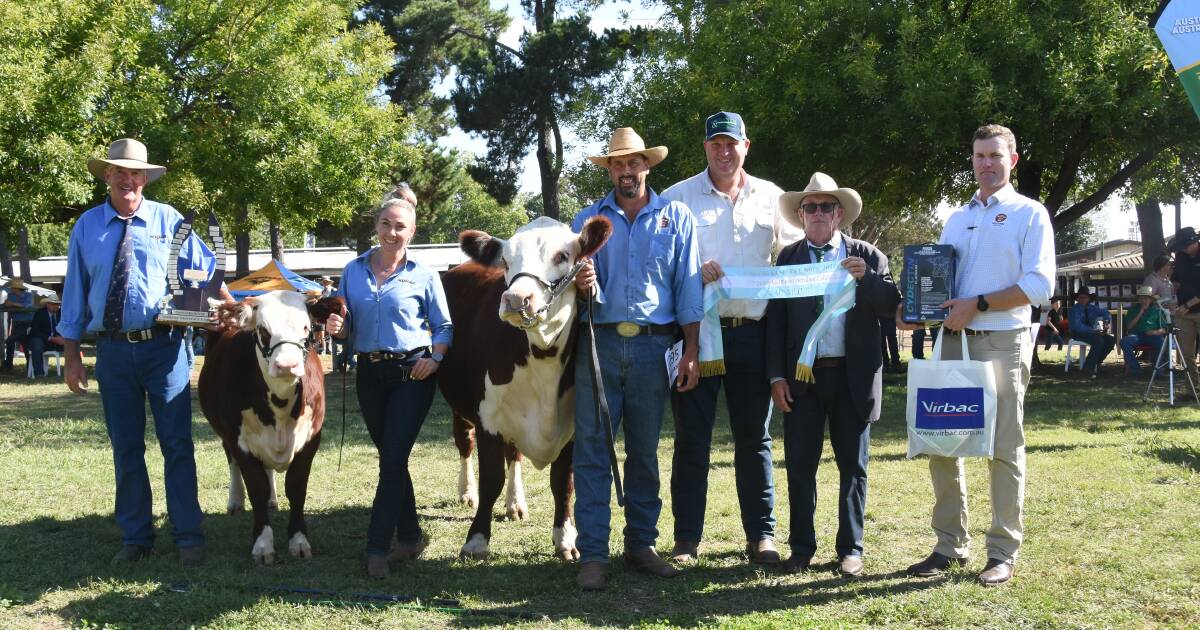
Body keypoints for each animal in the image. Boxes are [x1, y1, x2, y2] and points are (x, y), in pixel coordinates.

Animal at [199, 292, 343, 561]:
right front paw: (263, 544)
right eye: (263, 330)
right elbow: (256, 489)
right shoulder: (240, 441)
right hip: (223, 433)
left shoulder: (311, 440)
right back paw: (235, 501)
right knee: (232, 462)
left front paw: (298, 540)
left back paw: (272, 500)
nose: (287, 365)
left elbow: (296, 489)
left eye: (306, 327)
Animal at [439, 214, 609, 559]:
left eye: (562, 256)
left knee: (513, 454)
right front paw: (476, 540)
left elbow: (562, 482)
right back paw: (466, 492)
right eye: (505, 261)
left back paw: (515, 504)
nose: (517, 299)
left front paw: (565, 538)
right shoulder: (488, 416)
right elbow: (491, 479)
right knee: (465, 443)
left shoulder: (573, 423)